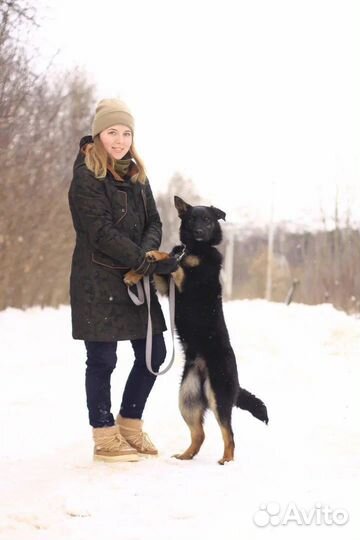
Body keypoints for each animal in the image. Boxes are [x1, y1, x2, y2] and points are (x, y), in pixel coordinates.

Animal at [156, 196, 268, 466]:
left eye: (207, 220)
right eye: (192, 219)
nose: (198, 232)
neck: (196, 250)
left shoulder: (188, 282)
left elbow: (177, 265)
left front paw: (161, 253)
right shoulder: (167, 287)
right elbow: (168, 267)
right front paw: (155, 254)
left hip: (218, 395)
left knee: (229, 433)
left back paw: (226, 460)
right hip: (187, 399)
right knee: (200, 434)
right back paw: (185, 455)